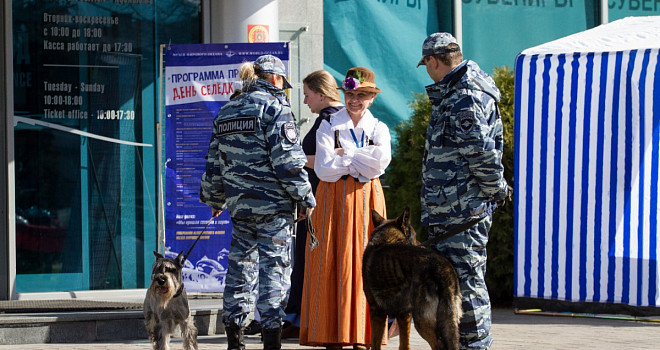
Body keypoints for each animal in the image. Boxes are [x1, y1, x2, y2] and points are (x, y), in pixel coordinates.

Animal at [360, 208, 464, 350]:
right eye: (415, 236)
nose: (422, 245)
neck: (385, 240)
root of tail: (442, 267)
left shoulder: (377, 312)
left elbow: (375, 344)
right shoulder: (404, 315)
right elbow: (404, 344)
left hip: (422, 320)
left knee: (439, 345)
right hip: (448, 320)